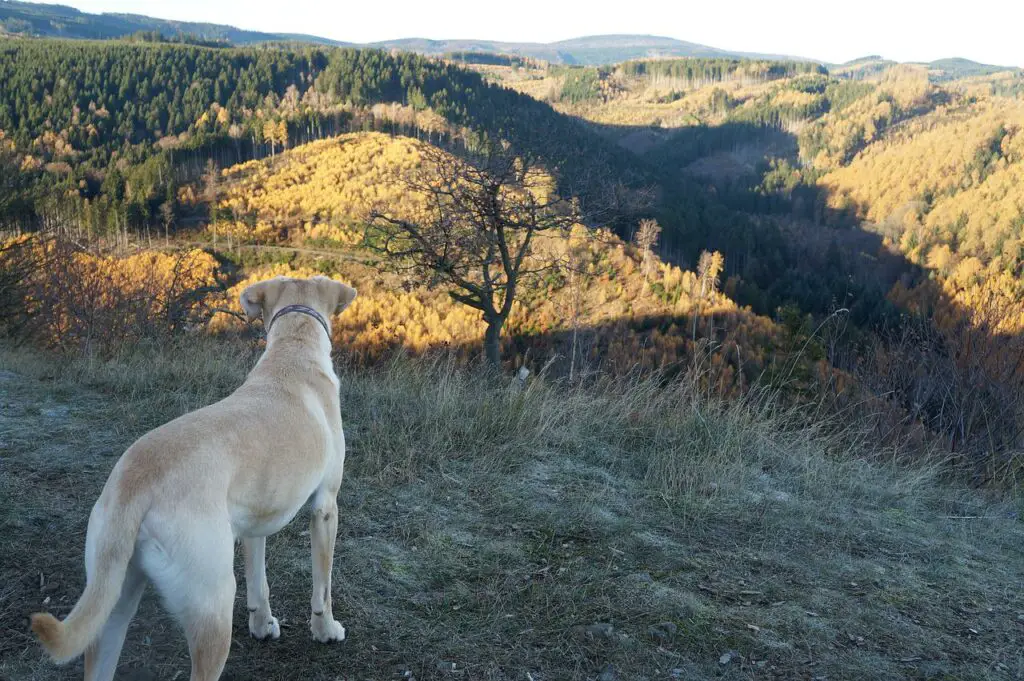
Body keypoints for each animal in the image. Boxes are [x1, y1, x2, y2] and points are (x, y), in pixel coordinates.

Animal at [30, 274, 356, 679]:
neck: (294, 349)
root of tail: (135, 482)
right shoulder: (325, 508)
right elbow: (322, 587)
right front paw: (326, 630)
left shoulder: (254, 524)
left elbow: (259, 584)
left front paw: (262, 624)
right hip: (212, 609)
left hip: (112, 603)